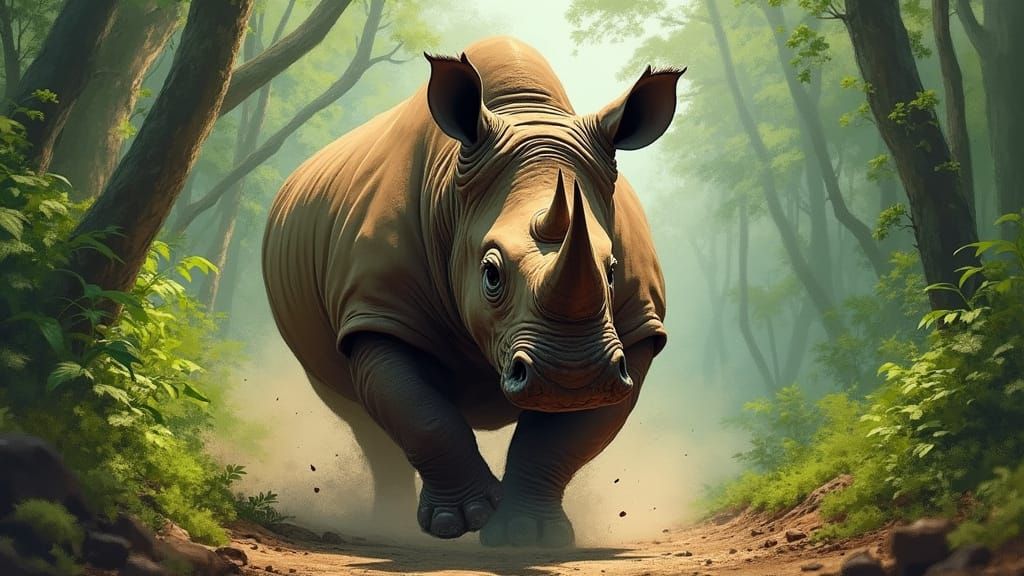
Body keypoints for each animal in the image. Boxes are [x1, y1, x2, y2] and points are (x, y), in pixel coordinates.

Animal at [262, 36, 681, 547]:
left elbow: (560, 441)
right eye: (491, 274)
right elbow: (422, 415)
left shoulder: (637, 329)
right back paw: (389, 525)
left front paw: (528, 535)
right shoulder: (378, 310)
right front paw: (462, 522)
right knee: (360, 418)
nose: (572, 377)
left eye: (613, 270)